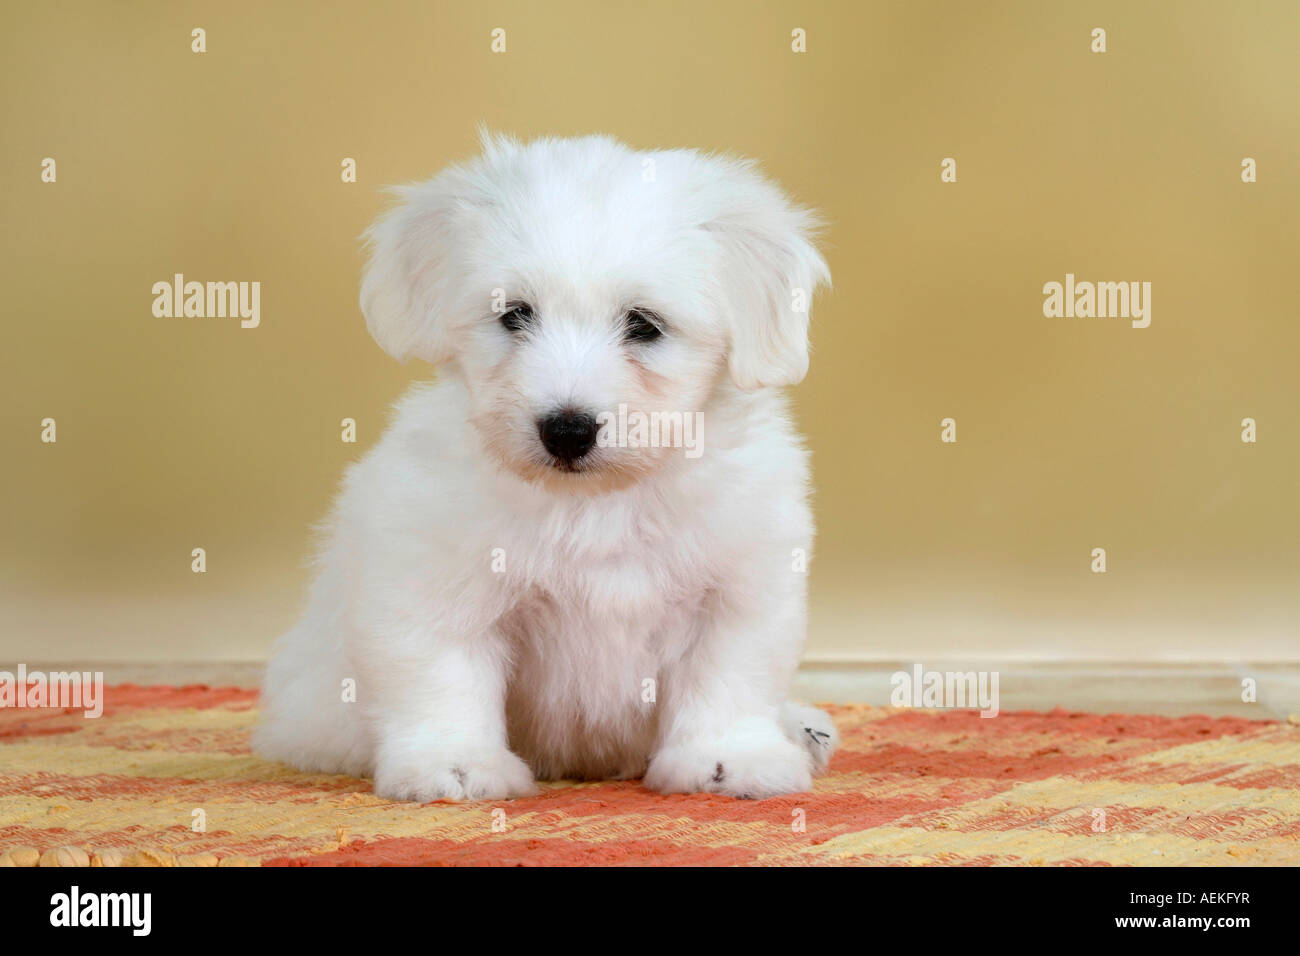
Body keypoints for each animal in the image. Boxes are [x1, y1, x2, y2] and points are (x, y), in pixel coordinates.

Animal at [256, 128, 832, 801]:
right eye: (514, 314)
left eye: (644, 325)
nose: (567, 429)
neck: (596, 504)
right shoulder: (434, 580)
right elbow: (442, 677)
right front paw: (454, 764)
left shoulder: (738, 588)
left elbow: (728, 678)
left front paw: (727, 759)